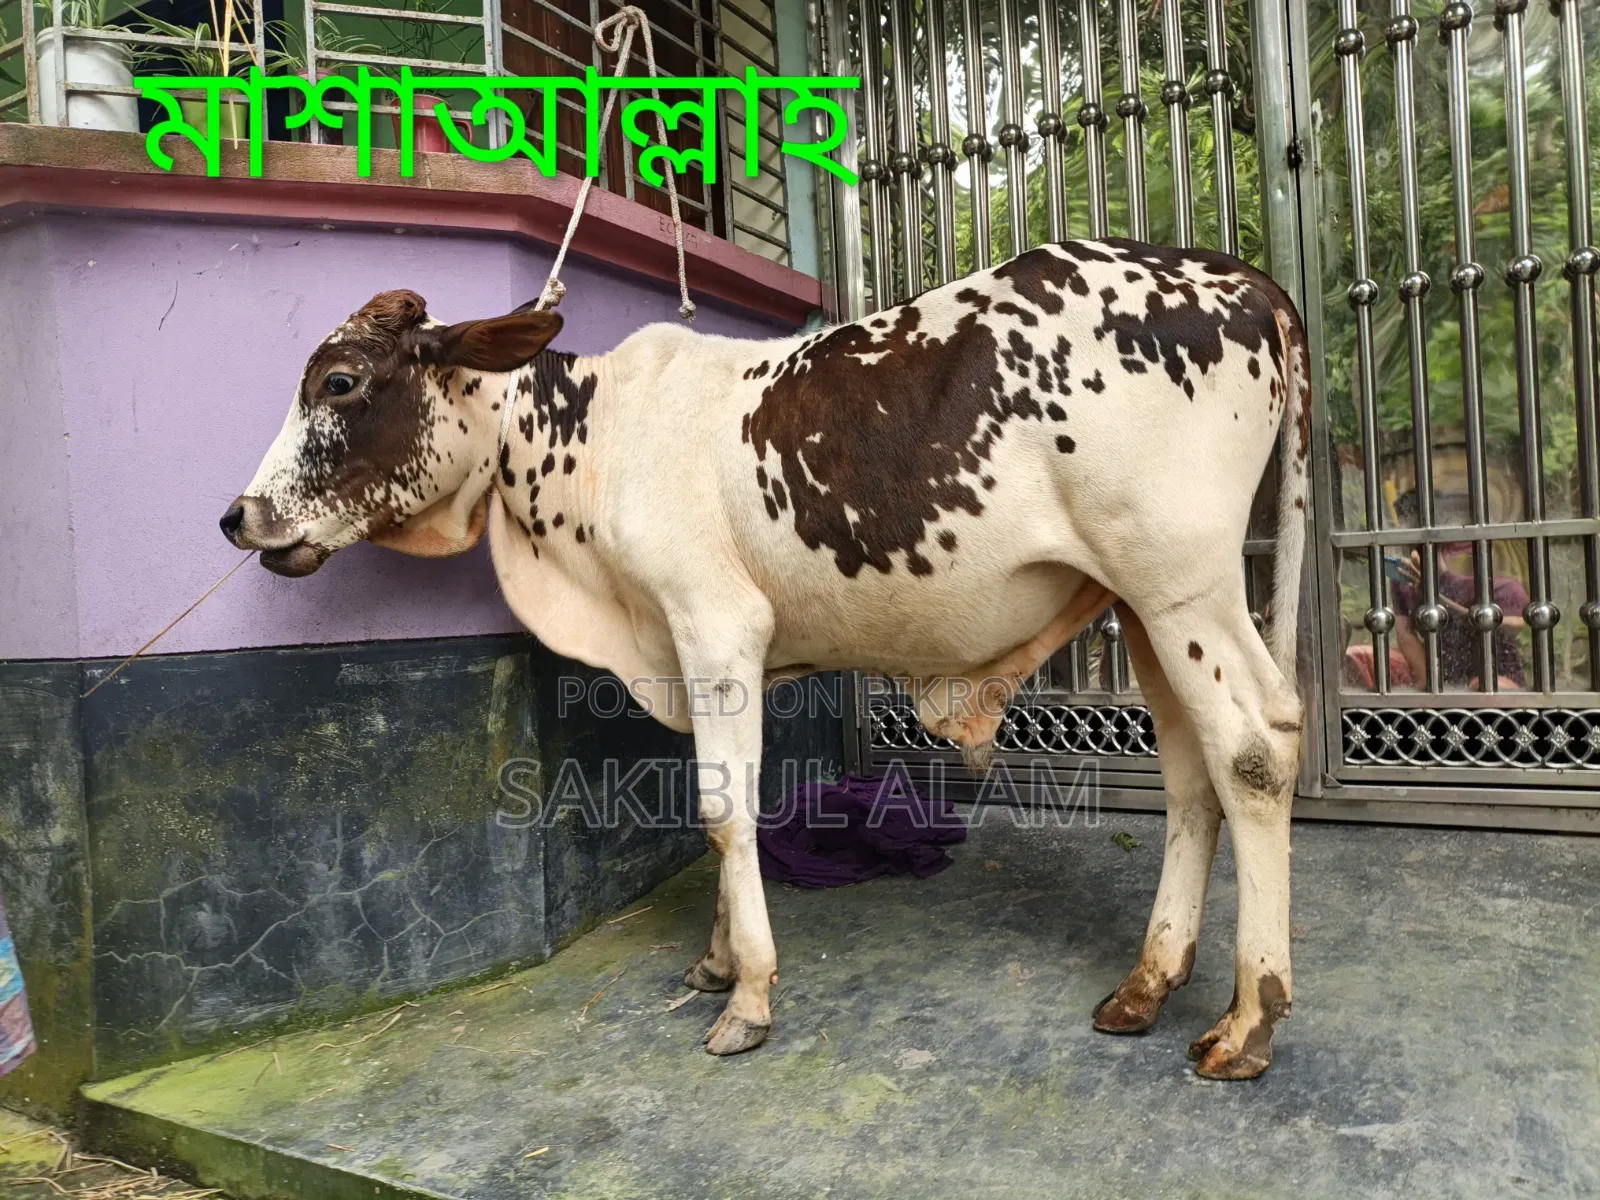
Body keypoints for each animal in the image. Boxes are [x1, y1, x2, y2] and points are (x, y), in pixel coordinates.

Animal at [220, 237, 1310, 1079]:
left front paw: (746, 994)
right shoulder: (687, 641)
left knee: (1254, 750)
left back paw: (1248, 1021)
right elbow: (715, 805)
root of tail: (1243, 279)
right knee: (1192, 778)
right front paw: (715, 960)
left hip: (1183, 584)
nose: (239, 516)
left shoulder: (716, 623)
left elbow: (720, 810)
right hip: (1142, 607)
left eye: (341, 383)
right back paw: (1149, 982)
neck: (590, 443)